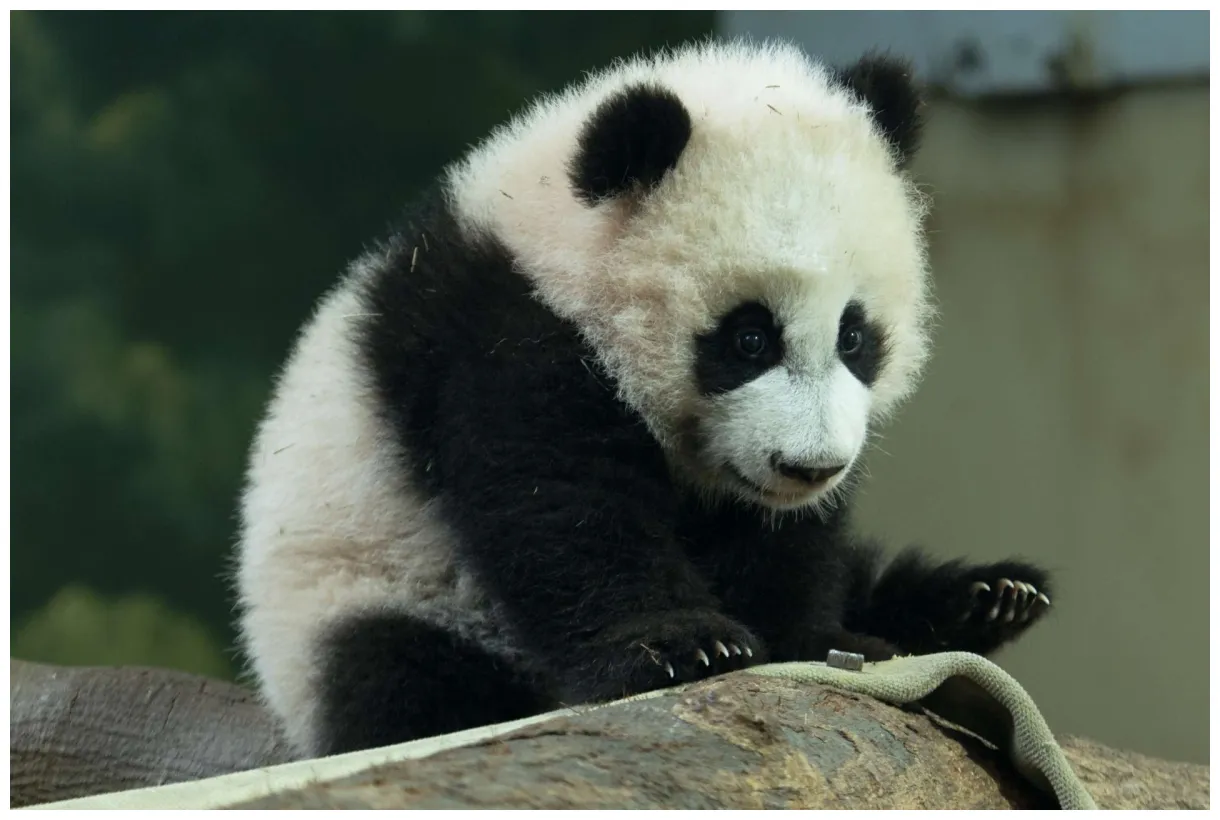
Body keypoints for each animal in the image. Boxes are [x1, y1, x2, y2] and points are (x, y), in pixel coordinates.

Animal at [235, 38, 1053, 760]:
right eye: (748, 338)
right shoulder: (502, 339)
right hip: (372, 590)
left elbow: (786, 542)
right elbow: (563, 501)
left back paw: (985, 597)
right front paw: (684, 643)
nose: (810, 467)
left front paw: (821, 639)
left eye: (855, 336)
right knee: (409, 677)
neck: (553, 244)